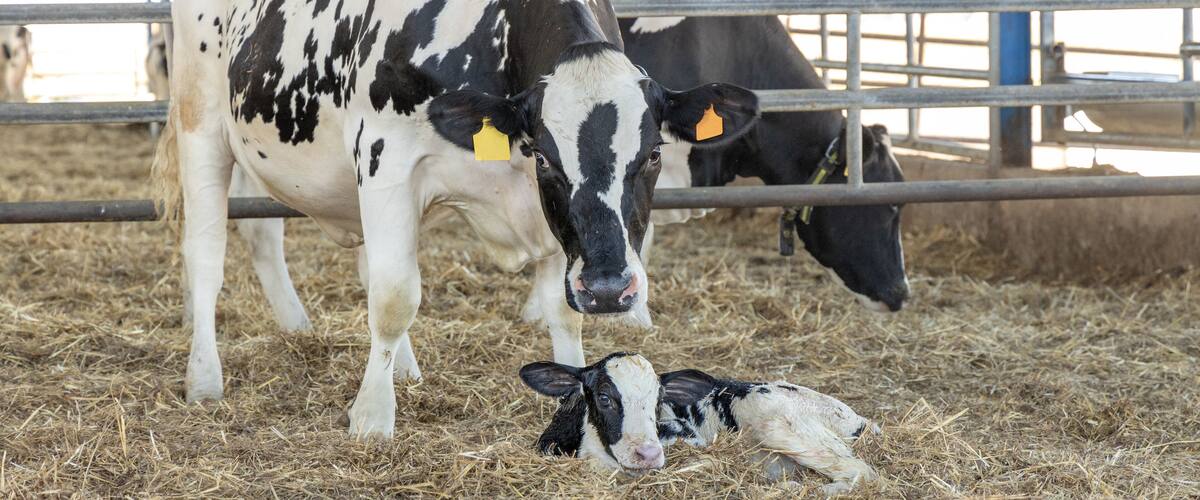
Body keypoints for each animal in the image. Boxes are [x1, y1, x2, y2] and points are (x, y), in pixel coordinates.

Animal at [153, 0, 758, 439]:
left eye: (654, 152)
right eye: (546, 155)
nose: (610, 288)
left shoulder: (548, 224)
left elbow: (564, 313)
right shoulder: (386, 159)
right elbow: (396, 298)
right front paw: (372, 418)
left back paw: (386, 362)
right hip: (201, 119)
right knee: (207, 255)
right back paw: (204, 377)